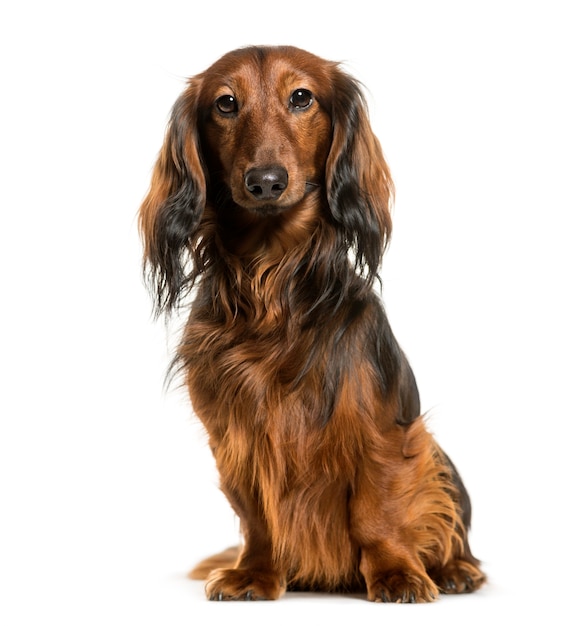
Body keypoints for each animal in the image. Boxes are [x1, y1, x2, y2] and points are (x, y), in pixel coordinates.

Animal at [139, 44, 486, 600]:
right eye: (225, 103)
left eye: (301, 97)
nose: (265, 182)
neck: (272, 284)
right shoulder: (235, 436)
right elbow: (256, 514)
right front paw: (255, 572)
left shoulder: (381, 429)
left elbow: (376, 508)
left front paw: (396, 572)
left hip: (435, 457)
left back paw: (454, 568)